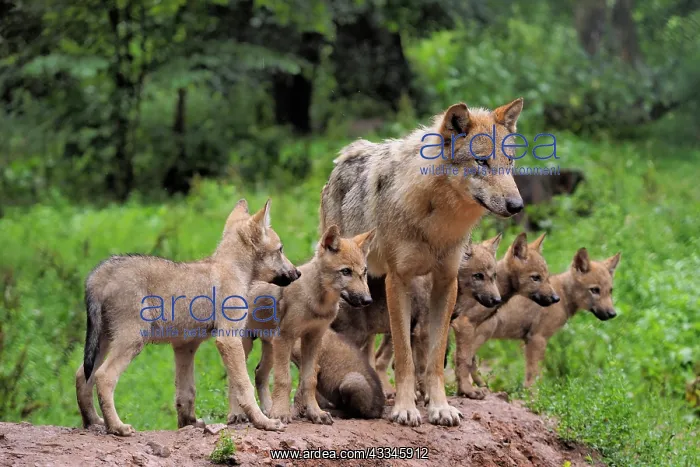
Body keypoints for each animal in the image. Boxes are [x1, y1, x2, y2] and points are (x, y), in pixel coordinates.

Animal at [75, 199, 301, 436]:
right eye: (281, 249)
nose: (298, 273)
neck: (233, 269)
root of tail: (99, 273)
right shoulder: (228, 339)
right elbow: (244, 386)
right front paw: (263, 422)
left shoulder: (185, 346)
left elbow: (186, 392)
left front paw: (189, 423)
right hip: (132, 342)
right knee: (103, 377)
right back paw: (117, 427)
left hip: (102, 343)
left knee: (82, 376)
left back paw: (93, 422)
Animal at [239, 225, 374, 425]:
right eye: (345, 272)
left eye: (363, 272)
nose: (367, 300)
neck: (319, 303)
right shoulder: (285, 338)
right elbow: (284, 380)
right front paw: (281, 413)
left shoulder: (313, 339)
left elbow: (309, 381)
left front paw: (315, 413)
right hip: (248, 344)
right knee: (236, 380)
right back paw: (237, 415)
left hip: (270, 347)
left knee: (259, 374)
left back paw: (267, 410)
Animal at [320, 98, 525, 426]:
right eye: (482, 163)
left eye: (509, 164)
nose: (517, 206)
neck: (438, 222)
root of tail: (347, 154)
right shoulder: (398, 280)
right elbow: (405, 356)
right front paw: (405, 408)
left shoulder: (445, 283)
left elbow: (435, 358)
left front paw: (440, 406)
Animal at [451, 232, 560, 399]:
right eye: (536, 278)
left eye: (547, 277)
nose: (556, 298)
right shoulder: (463, 324)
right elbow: (464, 360)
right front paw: (468, 390)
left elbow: (468, 359)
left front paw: (467, 390)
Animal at [465, 247, 621, 389]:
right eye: (595, 290)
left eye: (610, 291)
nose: (612, 313)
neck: (563, 295)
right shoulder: (537, 339)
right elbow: (534, 377)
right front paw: (533, 398)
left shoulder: (529, 341)